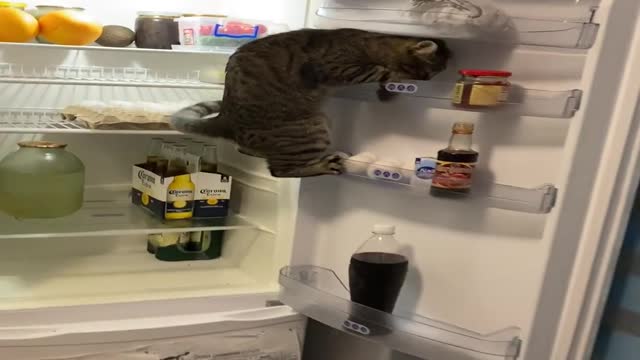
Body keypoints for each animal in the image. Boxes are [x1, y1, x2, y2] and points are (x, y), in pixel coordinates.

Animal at [170, 28, 450, 178]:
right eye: (423, 73)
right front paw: (393, 81)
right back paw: (325, 164)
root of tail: (226, 118)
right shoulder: (338, 67)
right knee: (280, 170)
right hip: (311, 128)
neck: (368, 41)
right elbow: (381, 71)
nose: (427, 82)